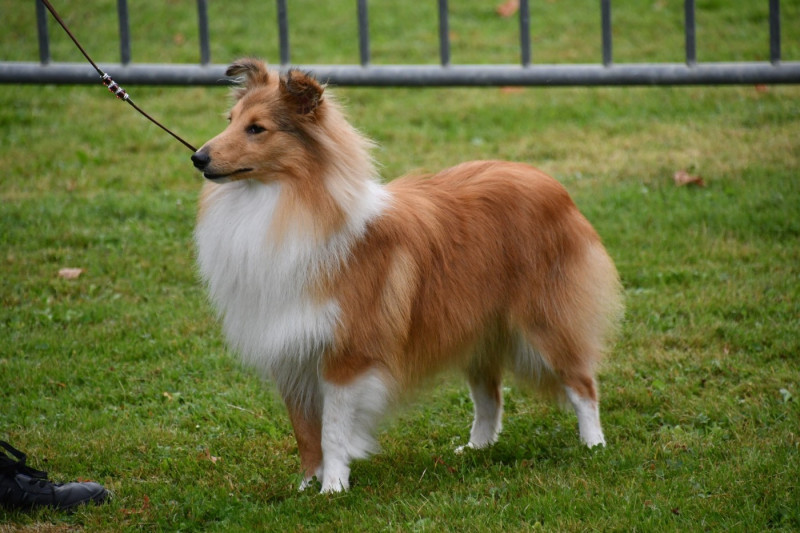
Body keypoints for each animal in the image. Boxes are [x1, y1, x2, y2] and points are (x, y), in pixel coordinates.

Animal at [191, 59, 623, 493]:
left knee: (582, 384)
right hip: (474, 327)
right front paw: (307, 485)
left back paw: (593, 444)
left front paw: (333, 487)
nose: (198, 158)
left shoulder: (347, 355)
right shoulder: (290, 353)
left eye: (257, 129)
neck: (284, 202)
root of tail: (551, 183)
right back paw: (477, 448)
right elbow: (304, 431)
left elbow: (333, 430)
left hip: (543, 323)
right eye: (230, 120)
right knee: (490, 396)